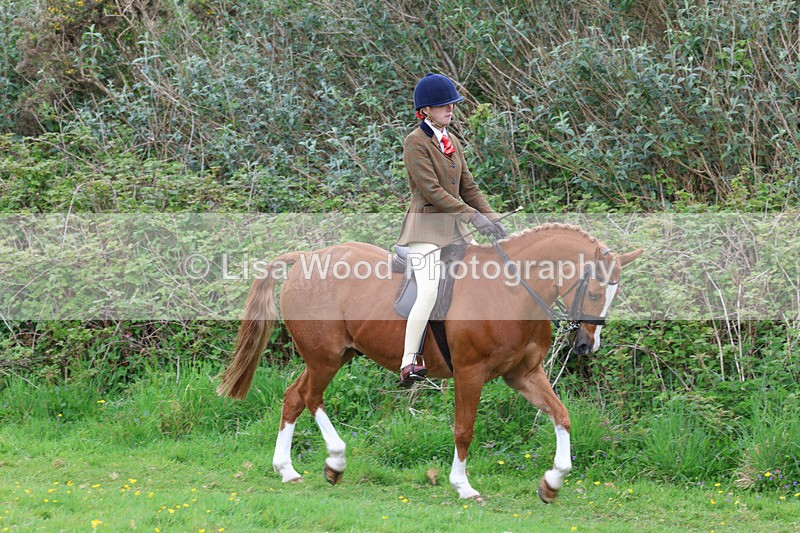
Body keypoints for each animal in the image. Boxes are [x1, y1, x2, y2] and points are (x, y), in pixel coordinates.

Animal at [217, 223, 642, 503]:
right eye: (596, 291)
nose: (587, 345)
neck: (510, 290)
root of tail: (306, 258)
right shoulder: (471, 373)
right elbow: (464, 430)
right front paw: (463, 486)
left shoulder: (523, 374)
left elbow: (561, 415)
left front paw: (552, 482)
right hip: (325, 358)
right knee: (309, 397)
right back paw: (334, 461)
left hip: (334, 356)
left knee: (293, 396)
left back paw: (288, 470)